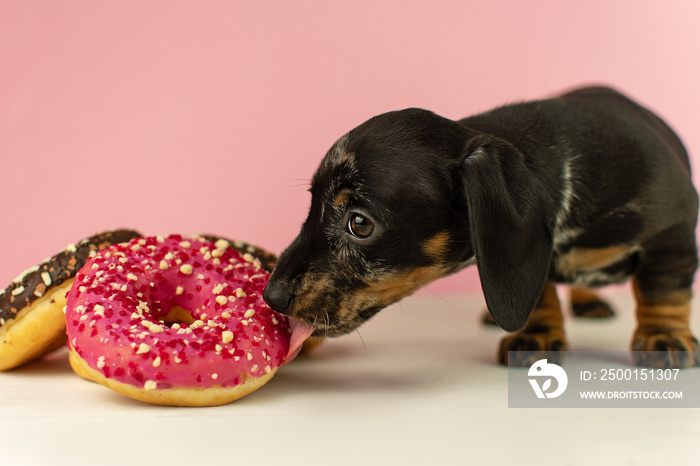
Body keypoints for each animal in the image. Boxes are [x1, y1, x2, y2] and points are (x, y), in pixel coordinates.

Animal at [264, 86, 700, 368]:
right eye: (311, 205)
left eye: (359, 223)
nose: (271, 297)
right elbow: (540, 292)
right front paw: (539, 333)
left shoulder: (673, 235)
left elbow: (663, 289)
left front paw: (664, 334)